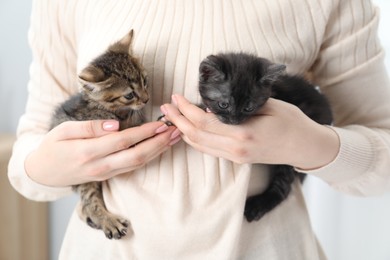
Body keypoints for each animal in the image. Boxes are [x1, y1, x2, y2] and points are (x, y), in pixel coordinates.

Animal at [51, 29, 149, 239]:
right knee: (89, 204)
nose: (146, 99)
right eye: (129, 95)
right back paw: (109, 221)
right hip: (84, 179)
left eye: (145, 81)